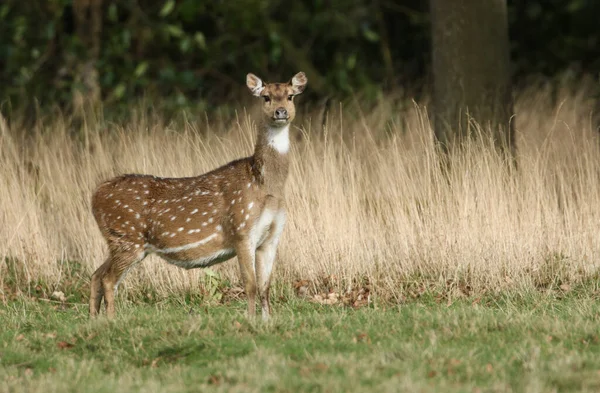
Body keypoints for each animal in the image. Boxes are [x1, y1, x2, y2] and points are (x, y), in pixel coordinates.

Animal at [89, 72, 310, 320]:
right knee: (108, 279)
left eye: (290, 96)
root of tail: (95, 196)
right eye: (266, 97)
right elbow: (250, 284)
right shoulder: (241, 229)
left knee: (96, 274)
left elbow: (265, 286)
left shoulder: (272, 237)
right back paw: (111, 320)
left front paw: (266, 321)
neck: (267, 187)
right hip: (127, 238)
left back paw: (93, 319)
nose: (280, 112)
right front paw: (250, 320)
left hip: (121, 241)